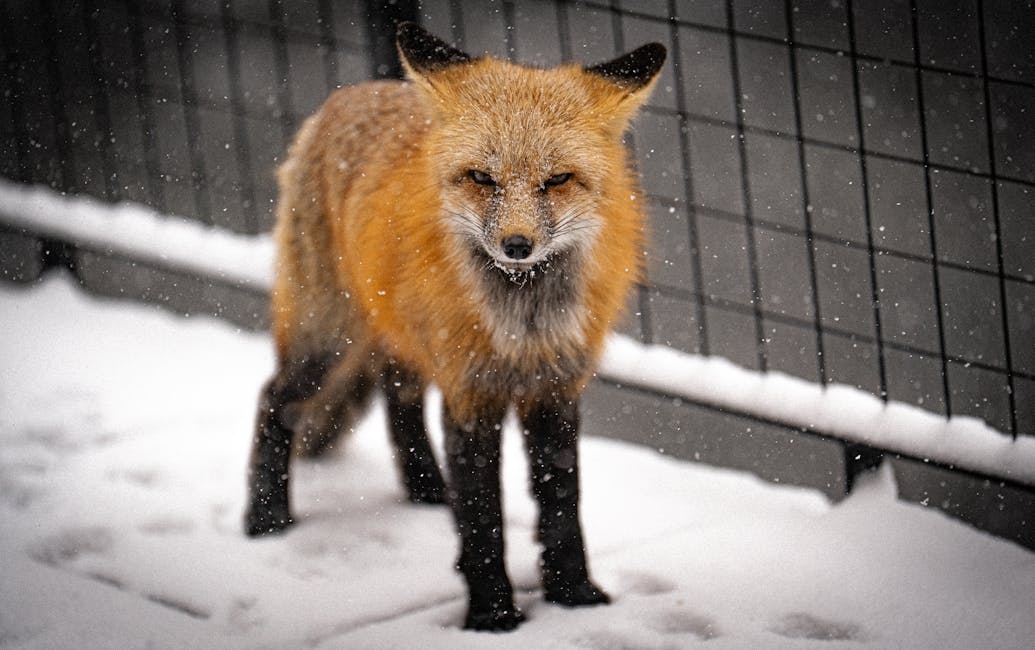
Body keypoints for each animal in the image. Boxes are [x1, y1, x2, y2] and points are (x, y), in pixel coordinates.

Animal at [244, 22, 665, 631]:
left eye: (557, 179)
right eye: (482, 178)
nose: (517, 245)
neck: (520, 326)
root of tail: (354, 91)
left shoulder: (555, 387)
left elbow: (563, 501)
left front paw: (575, 595)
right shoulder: (470, 391)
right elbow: (483, 515)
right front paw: (492, 614)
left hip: (398, 338)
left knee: (398, 396)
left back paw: (425, 489)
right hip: (326, 336)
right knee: (276, 399)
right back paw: (266, 519)